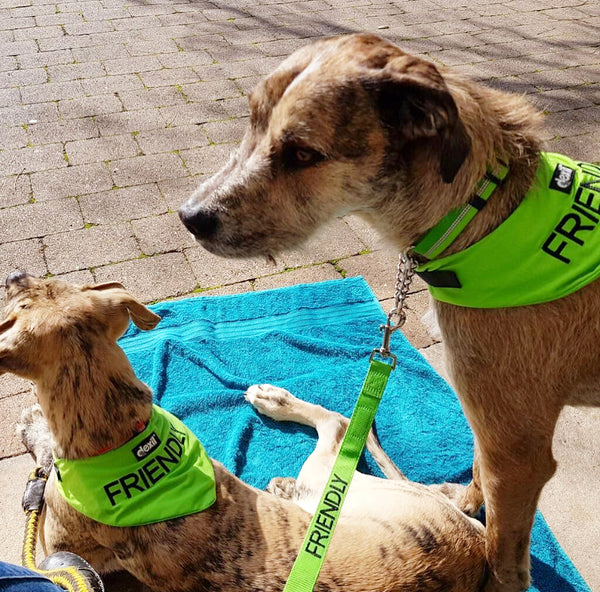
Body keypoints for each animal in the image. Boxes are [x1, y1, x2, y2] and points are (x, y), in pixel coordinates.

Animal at [1, 274, 488, 592]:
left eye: (17, 308)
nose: (14, 274)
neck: (120, 429)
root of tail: (475, 544)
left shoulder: (55, 547)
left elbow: (44, 465)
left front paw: (33, 427)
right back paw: (283, 482)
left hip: (332, 483)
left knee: (337, 423)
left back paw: (274, 401)